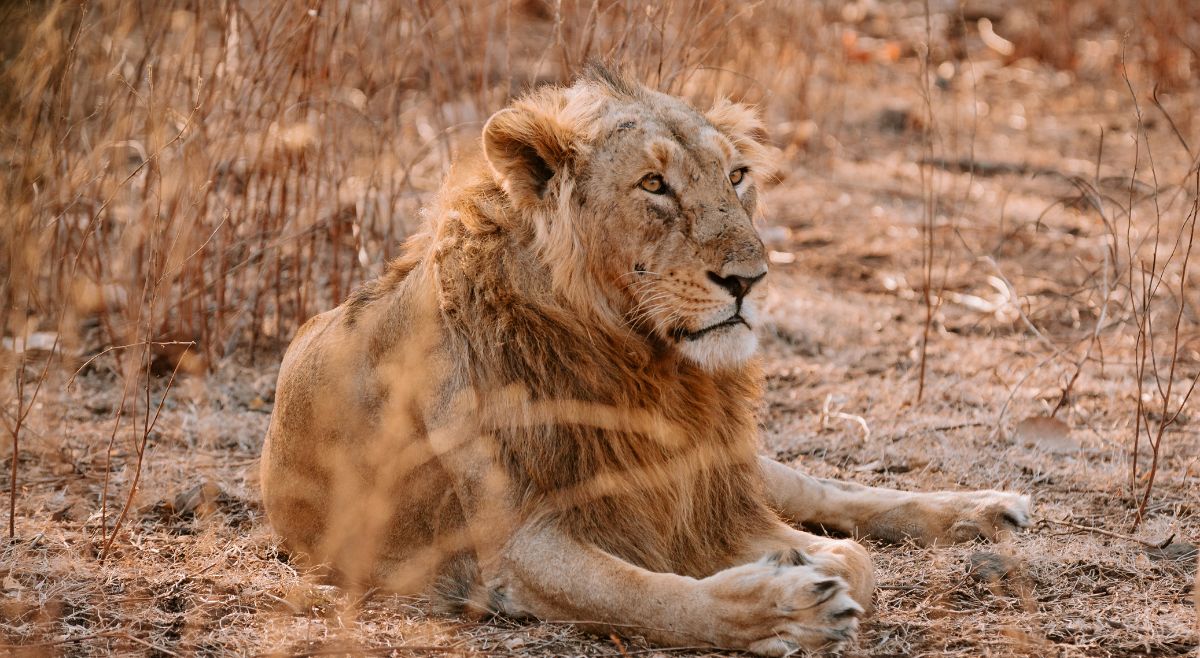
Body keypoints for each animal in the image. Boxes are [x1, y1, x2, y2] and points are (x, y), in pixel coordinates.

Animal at [260, 66, 1032, 655]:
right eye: (653, 185)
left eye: (737, 175)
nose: (751, 279)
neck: (644, 365)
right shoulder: (519, 544)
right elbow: (648, 593)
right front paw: (780, 609)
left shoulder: (694, 484)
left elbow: (852, 555)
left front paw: (802, 565)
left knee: (824, 489)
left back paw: (986, 508)